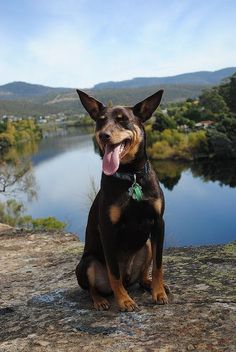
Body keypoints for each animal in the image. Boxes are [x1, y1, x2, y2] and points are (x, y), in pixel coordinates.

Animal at [74, 89, 169, 312]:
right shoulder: (108, 229)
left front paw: (159, 292)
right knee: (94, 287)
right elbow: (113, 272)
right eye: (100, 120)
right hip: (86, 263)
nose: (104, 135)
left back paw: (148, 284)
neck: (130, 175)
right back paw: (100, 300)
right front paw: (124, 301)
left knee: (142, 276)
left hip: (147, 245)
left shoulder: (158, 223)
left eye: (122, 119)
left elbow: (158, 265)